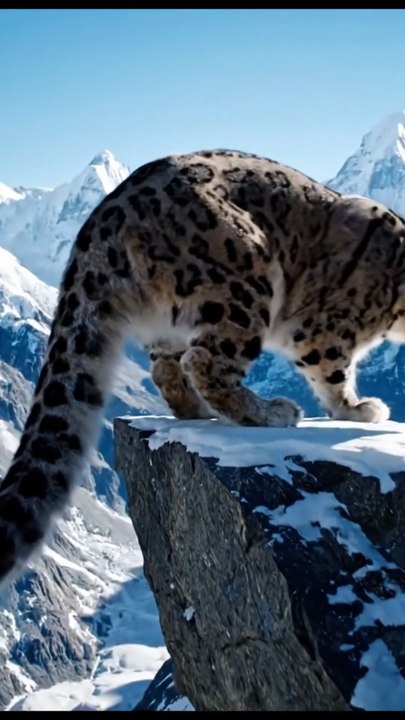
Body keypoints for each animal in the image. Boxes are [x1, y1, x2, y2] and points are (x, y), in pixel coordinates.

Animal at [1, 148, 405, 586]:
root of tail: (103, 219)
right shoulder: (327, 328)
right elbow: (333, 373)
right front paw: (359, 410)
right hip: (245, 281)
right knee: (206, 361)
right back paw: (271, 412)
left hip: (167, 323)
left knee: (167, 369)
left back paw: (198, 411)